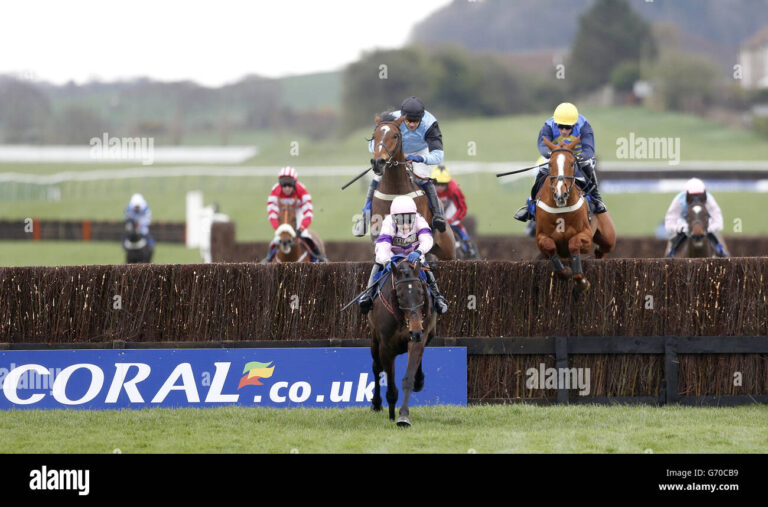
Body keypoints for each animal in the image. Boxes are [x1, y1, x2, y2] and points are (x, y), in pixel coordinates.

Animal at [368, 256, 436, 426]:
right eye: (399, 295)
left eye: (420, 292)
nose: (416, 330)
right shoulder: (385, 347)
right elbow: (390, 386)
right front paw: (392, 413)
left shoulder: (417, 339)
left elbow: (409, 378)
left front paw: (403, 416)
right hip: (374, 341)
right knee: (376, 368)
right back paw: (376, 404)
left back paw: (419, 380)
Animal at [536, 137, 616, 294]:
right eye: (550, 163)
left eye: (572, 163)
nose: (560, 193)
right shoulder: (540, 238)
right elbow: (549, 245)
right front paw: (565, 272)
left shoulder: (586, 236)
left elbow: (574, 243)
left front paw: (581, 281)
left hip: (608, 237)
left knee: (601, 250)